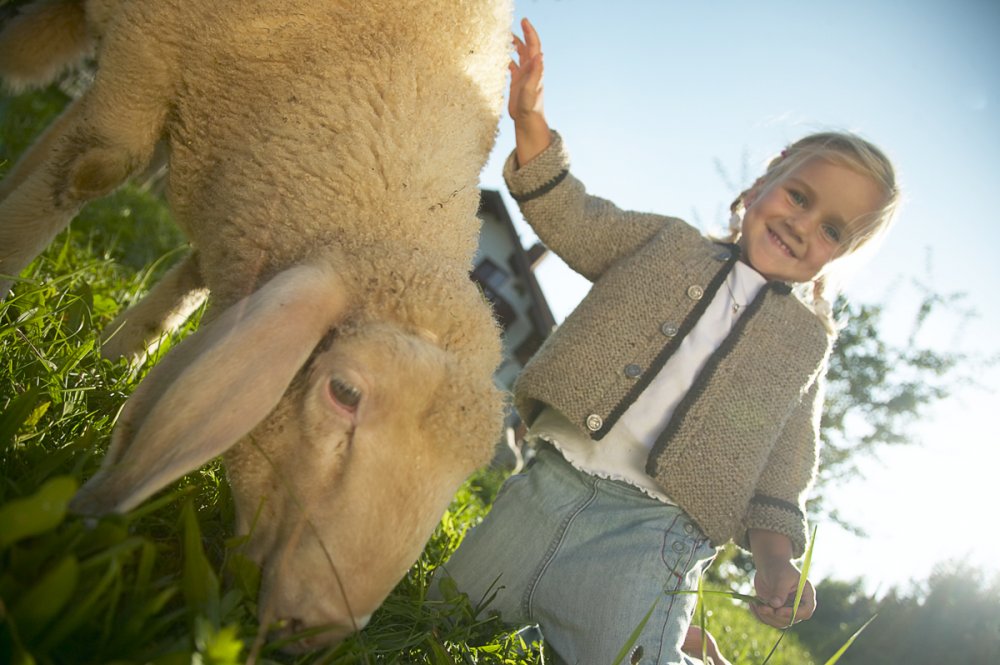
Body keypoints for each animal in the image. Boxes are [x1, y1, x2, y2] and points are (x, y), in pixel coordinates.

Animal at [0, 0, 510, 649]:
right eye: (344, 393)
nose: (321, 625)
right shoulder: (149, 49)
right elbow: (95, 167)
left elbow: (189, 279)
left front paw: (116, 358)